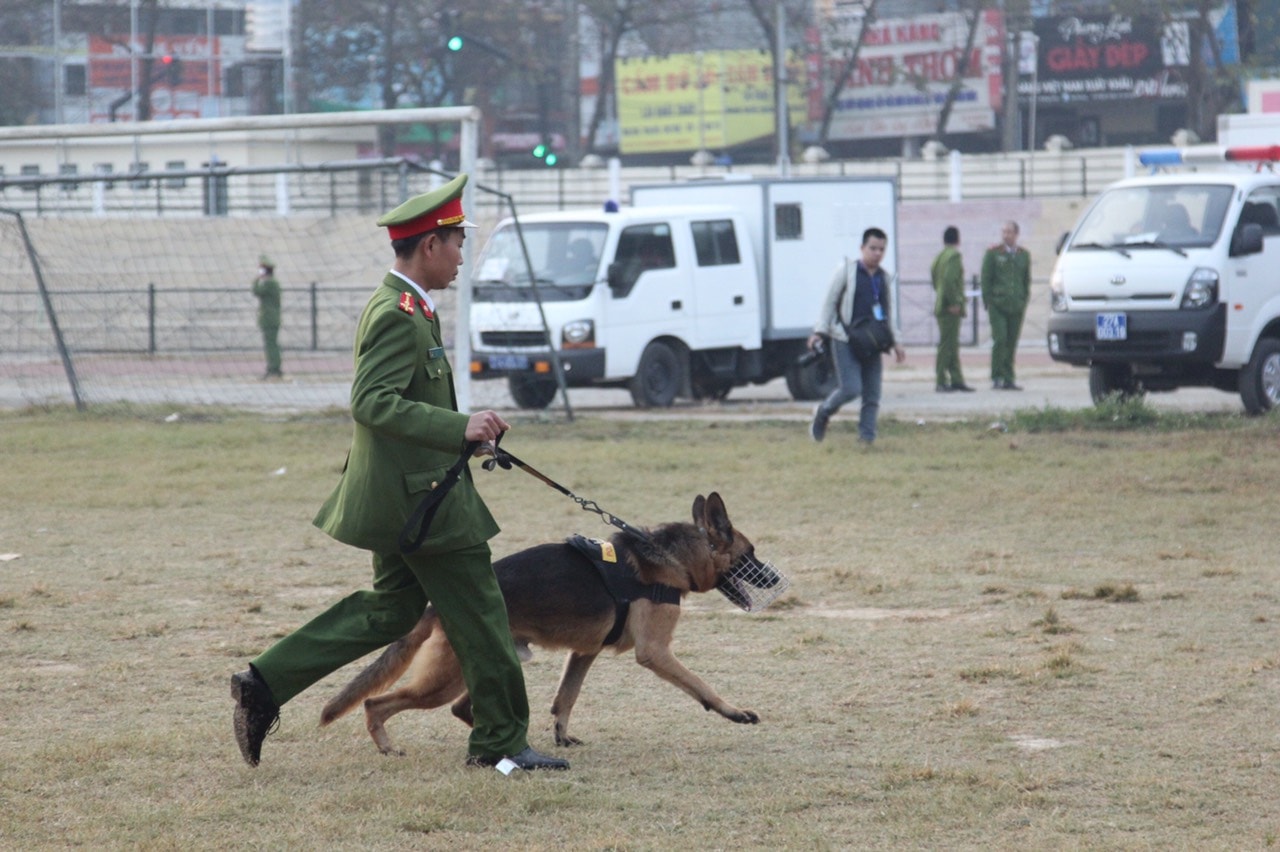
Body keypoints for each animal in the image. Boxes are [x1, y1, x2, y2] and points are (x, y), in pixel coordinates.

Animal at [320, 491, 768, 752]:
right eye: (751, 554)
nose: (771, 578)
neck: (674, 557)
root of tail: (435, 606)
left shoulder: (584, 653)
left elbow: (566, 696)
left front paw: (561, 734)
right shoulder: (655, 653)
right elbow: (700, 685)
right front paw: (732, 711)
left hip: (483, 666)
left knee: (463, 707)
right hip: (443, 681)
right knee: (377, 702)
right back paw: (388, 746)